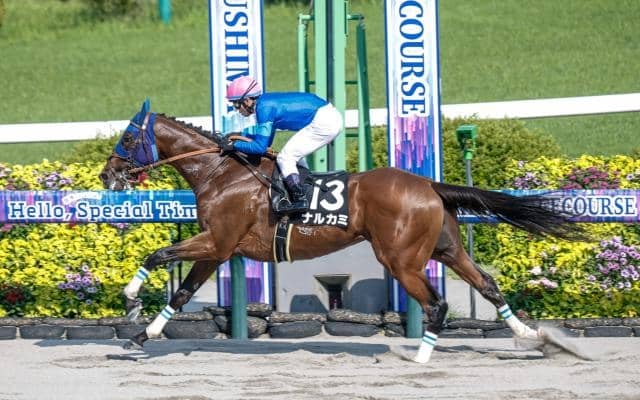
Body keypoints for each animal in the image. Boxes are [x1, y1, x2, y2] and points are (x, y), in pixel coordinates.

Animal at [99, 100, 586, 363]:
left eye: (128, 138)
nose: (107, 175)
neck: (221, 173)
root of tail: (428, 184)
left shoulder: (216, 241)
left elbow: (157, 256)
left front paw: (129, 298)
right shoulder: (219, 250)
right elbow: (182, 293)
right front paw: (143, 335)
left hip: (401, 258)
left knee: (437, 303)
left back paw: (421, 354)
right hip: (445, 248)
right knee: (486, 283)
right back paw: (530, 335)